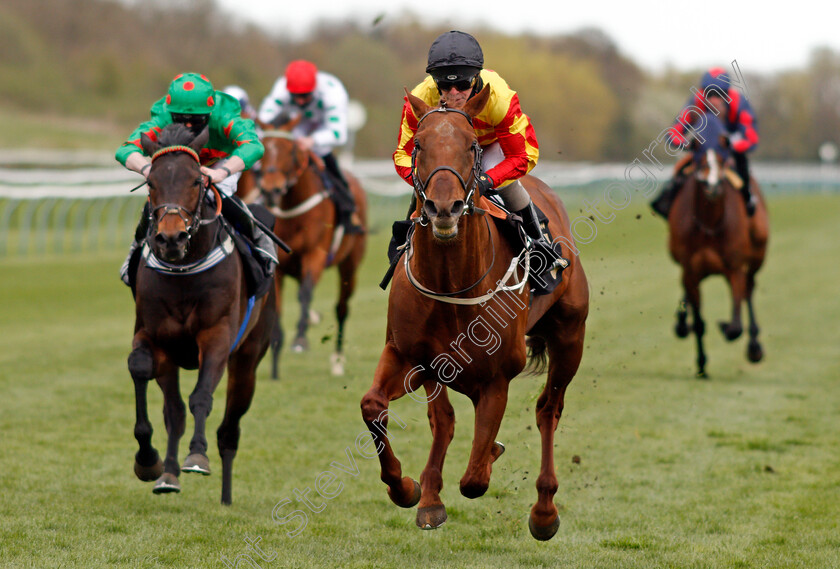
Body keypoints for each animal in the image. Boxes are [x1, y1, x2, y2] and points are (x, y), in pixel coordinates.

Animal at [128, 124, 278, 502]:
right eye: (151, 182)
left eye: (196, 180)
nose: (171, 238)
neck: (184, 270)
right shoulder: (156, 338)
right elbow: (145, 375)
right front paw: (150, 462)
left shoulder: (217, 337)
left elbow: (201, 397)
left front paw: (197, 455)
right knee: (176, 413)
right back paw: (168, 473)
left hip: (249, 358)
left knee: (229, 429)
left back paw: (225, 495)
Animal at [253, 120, 364, 378]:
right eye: (264, 146)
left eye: (292, 151)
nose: (271, 190)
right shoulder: (279, 264)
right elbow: (278, 308)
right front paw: (275, 359)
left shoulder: (316, 254)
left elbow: (305, 294)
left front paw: (300, 340)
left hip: (350, 265)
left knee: (341, 308)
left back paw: (337, 360)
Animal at [358, 86, 588, 540]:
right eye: (418, 145)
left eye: (470, 146)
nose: (442, 208)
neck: (452, 282)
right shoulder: (407, 356)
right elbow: (374, 406)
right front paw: (406, 488)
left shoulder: (496, 379)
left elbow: (476, 478)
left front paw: (491, 455)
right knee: (443, 419)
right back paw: (429, 498)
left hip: (571, 337)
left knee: (547, 410)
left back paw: (544, 511)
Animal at [668, 111, 772, 378]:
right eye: (698, 156)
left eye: (723, 158)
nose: (712, 185)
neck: (709, 223)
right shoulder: (691, 270)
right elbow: (699, 322)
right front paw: (701, 362)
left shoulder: (734, 268)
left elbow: (735, 325)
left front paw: (726, 326)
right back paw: (682, 323)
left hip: (756, 257)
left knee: (749, 291)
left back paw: (754, 346)